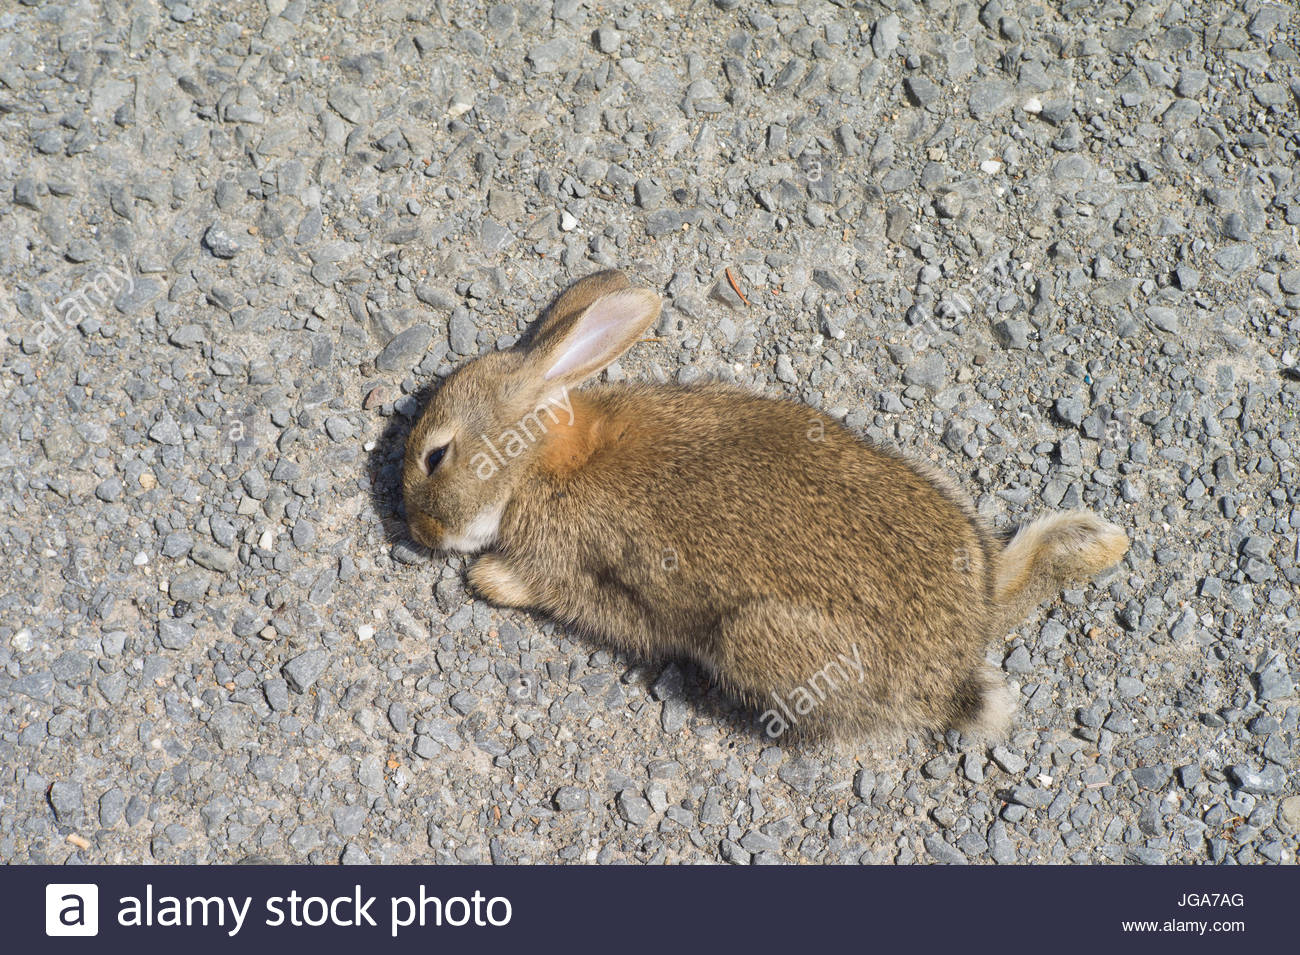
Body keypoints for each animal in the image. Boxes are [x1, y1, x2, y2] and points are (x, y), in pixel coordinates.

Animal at [402, 269, 1129, 740]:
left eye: (436, 455)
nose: (419, 528)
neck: (536, 457)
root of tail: (955, 661)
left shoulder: (571, 566)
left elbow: (551, 588)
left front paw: (486, 580)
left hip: (755, 638)